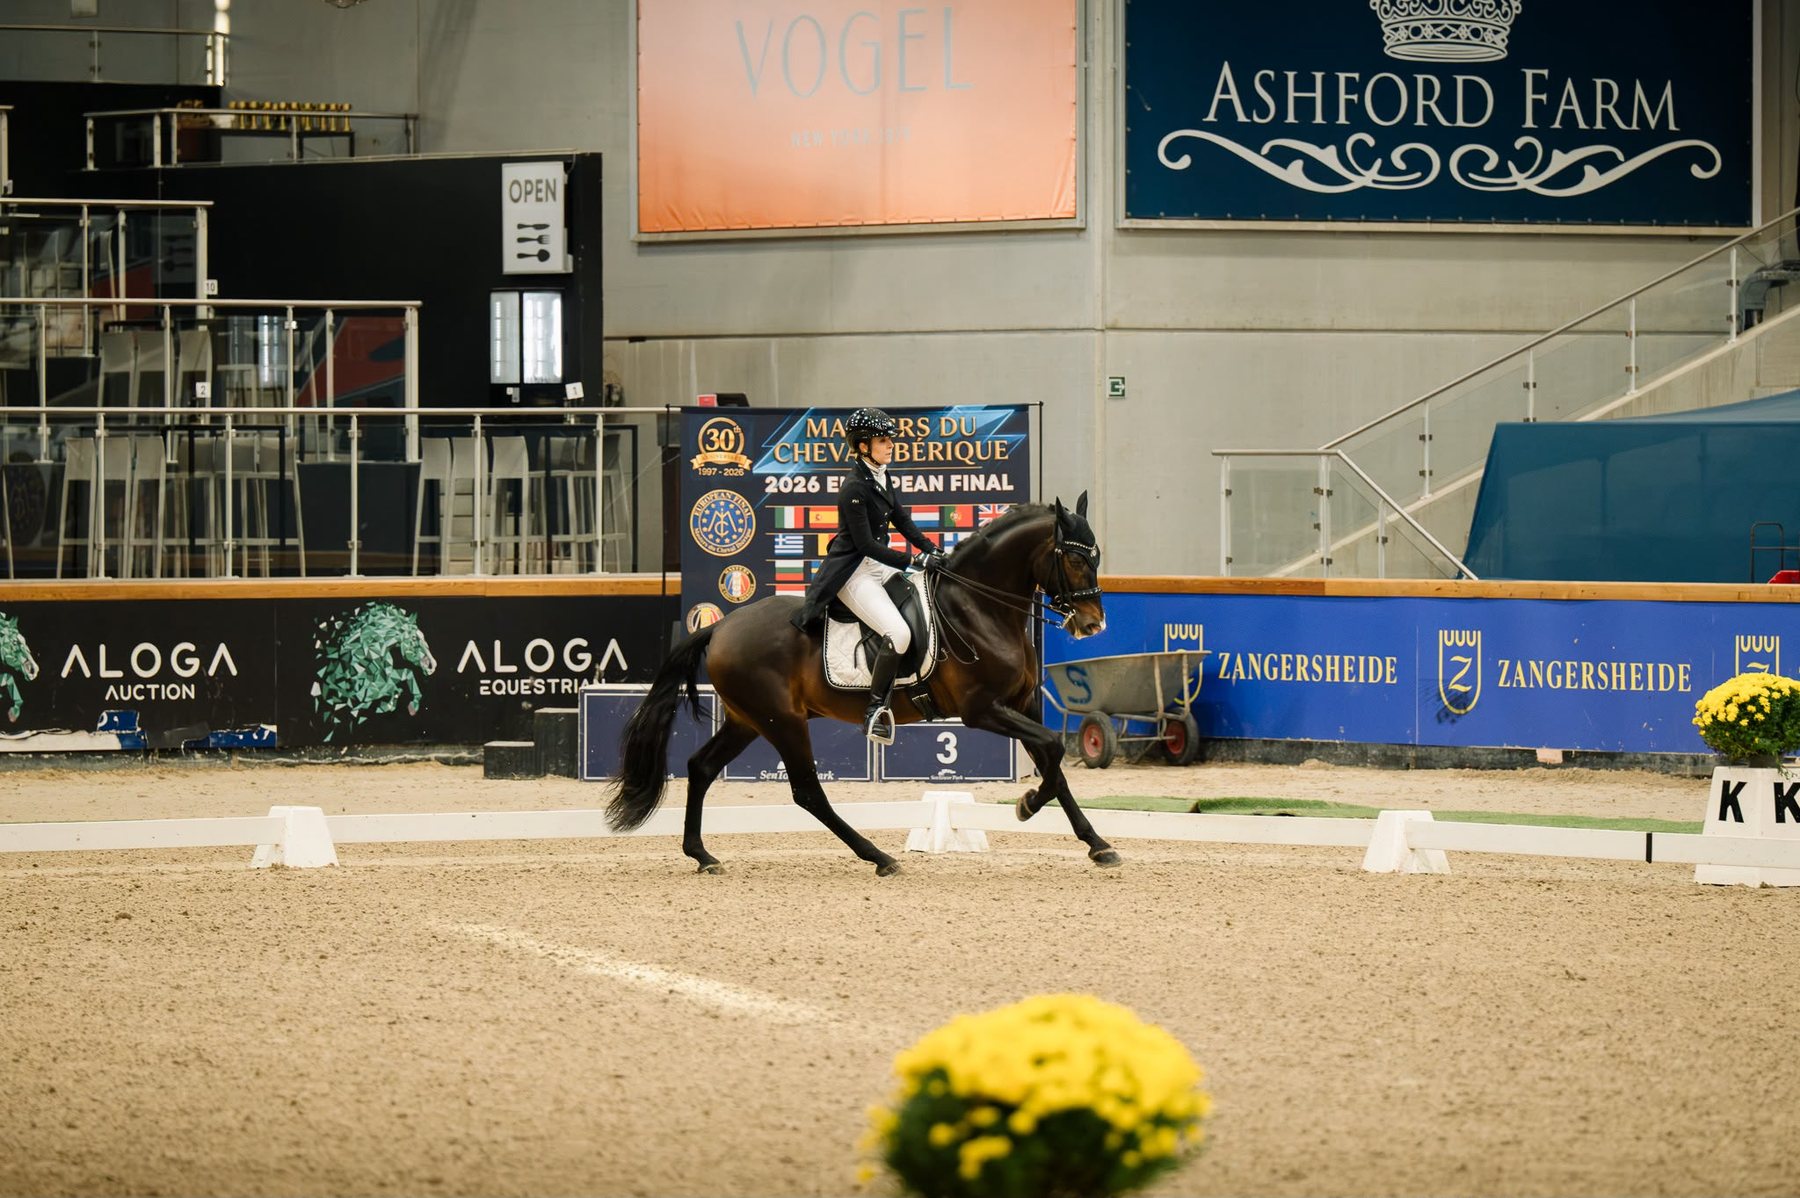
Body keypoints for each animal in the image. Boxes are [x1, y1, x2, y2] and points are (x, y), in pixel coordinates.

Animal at [606, 493, 1115, 875]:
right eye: (1073, 557)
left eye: (1096, 556)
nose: (1093, 624)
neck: (979, 608)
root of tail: (721, 626)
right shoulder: (983, 709)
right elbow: (1053, 749)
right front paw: (1027, 805)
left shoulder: (1021, 705)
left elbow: (1054, 763)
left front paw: (1096, 843)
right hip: (782, 721)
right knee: (807, 792)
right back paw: (879, 857)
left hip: (747, 720)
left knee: (701, 767)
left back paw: (702, 855)